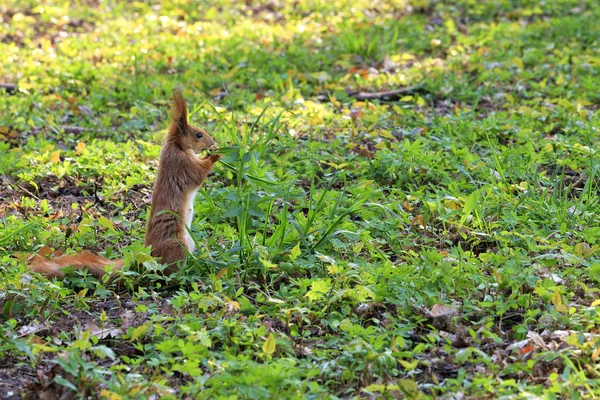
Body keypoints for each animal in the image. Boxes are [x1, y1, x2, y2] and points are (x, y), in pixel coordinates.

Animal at [27, 90, 221, 278]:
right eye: (198, 135)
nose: (213, 142)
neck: (177, 146)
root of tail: (150, 255)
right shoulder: (181, 164)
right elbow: (198, 175)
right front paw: (216, 154)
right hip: (176, 245)